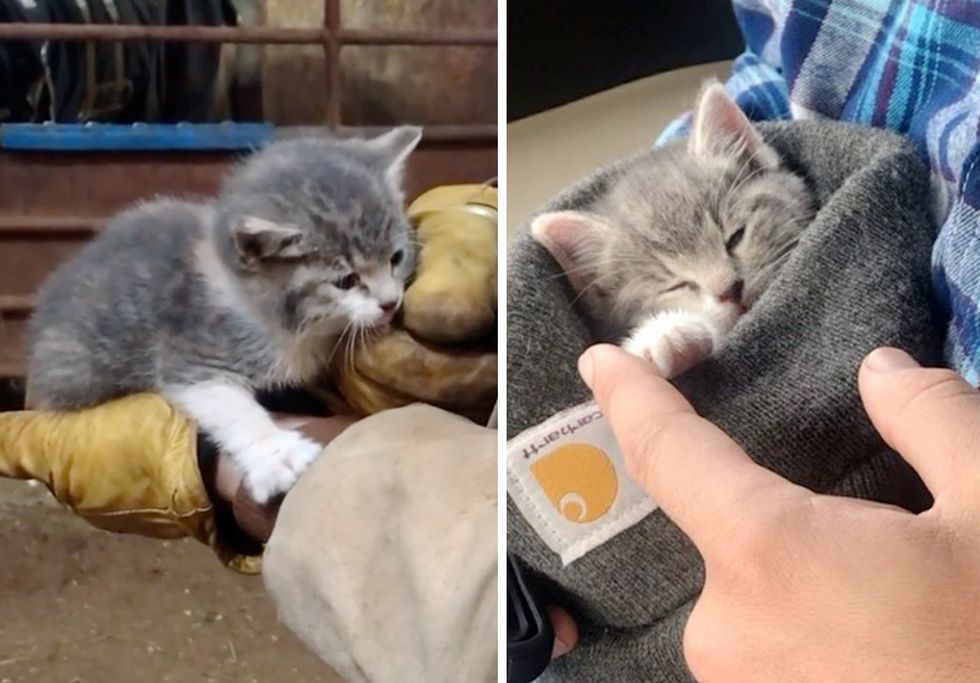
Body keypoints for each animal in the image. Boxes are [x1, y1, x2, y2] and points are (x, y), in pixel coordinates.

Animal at [27, 127, 422, 502]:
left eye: (396, 258)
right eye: (346, 280)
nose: (390, 302)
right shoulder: (193, 352)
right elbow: (227, 404)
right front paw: (279, 455)